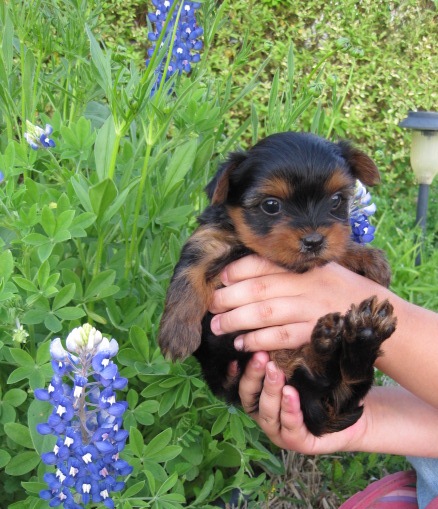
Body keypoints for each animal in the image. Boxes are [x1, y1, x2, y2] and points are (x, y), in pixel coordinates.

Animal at [158, 132, 396, 436]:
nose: (314, 241)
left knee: (346, 384)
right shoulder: (208, 240)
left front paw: (370, 259)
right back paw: (336, 338)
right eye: (271, 205)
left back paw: (359, 333)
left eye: (335, 200)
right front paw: (177, 333)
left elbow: (339, 249)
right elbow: (188, 275)